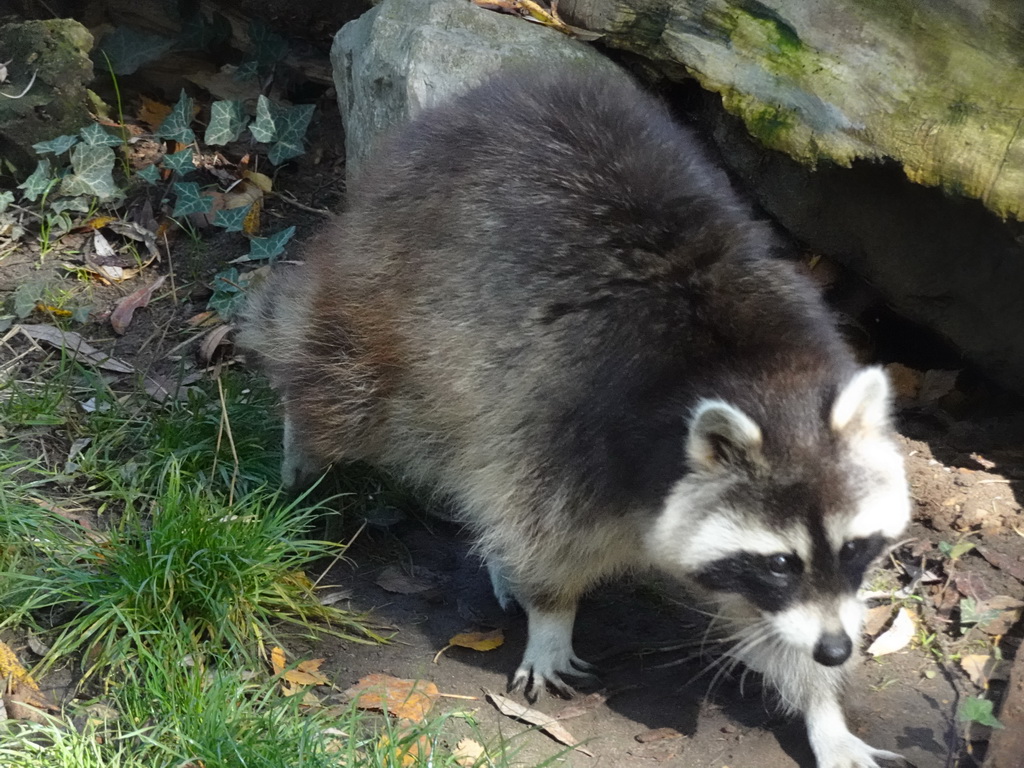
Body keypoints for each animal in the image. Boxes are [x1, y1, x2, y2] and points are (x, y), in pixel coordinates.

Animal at [239, 69, 913, 765]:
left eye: (856, 548)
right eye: (781, 562)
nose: (837, 649)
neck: (751, 371)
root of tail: (478, 97)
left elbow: (776, 623)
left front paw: (823, 709)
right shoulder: (573, 425)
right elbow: (547, 536)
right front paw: (551, 617)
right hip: (400, 290)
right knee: (340, 378)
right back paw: (302, 429)